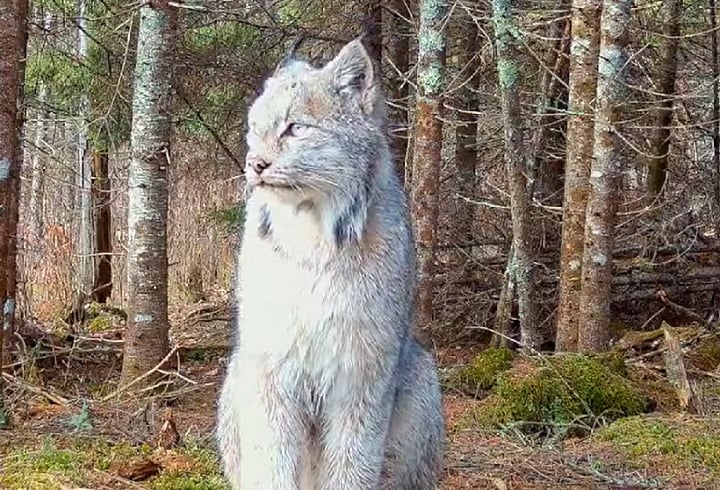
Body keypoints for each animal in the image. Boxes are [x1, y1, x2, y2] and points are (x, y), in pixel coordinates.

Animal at [216, 36, 445, 489]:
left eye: (295, 128)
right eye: (255, 129)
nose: (254, 165)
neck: (312, 237)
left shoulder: (363, 372)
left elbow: (352, 464)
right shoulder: (271, 364)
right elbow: (270, 461)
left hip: (423, 372)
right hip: (236, 373)